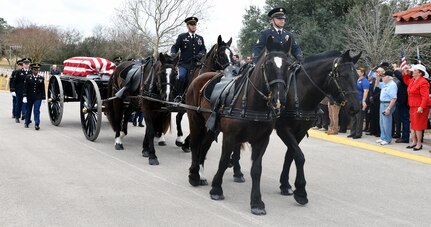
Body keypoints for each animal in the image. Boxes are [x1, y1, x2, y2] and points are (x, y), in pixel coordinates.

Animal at [186, 36, 290, 215]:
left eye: (288, 65)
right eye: (269, 64)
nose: (280, 98)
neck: (253, 103)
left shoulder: (262, 141)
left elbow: (256, 169)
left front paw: (256, 202)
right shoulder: (230, 137)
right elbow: (223, 160)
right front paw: (216, 189)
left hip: (210, 127)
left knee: (203, 147)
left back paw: (201, 174)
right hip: (195, 120)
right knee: (195, 144)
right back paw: (194, 175)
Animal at [230, 50, 362, 205]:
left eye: (357, 76)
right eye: (342, 75)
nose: (355, 108)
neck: (301, 91)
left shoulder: (300, 132)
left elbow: (290, 156)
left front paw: (285, 185)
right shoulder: (284, 130)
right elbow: (299, 156)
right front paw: (300, 191)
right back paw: (237, 171)